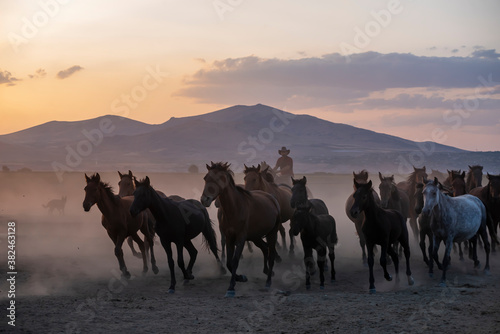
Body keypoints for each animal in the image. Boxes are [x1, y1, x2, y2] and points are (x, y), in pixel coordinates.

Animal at [200, 162, 282, 298]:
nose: (205, 199)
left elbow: (235, 261)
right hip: (255, 236)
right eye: (205, 178)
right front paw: (241, 278)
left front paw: (231, 288)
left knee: (270, 253)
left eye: (220, 179)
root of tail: (273, 199)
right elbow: (229, 262)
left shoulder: (241, 238)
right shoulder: (229, 238)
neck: (235, 208)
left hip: (272, 233)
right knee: (265, 248)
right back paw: (266, 271)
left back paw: (268, 282)